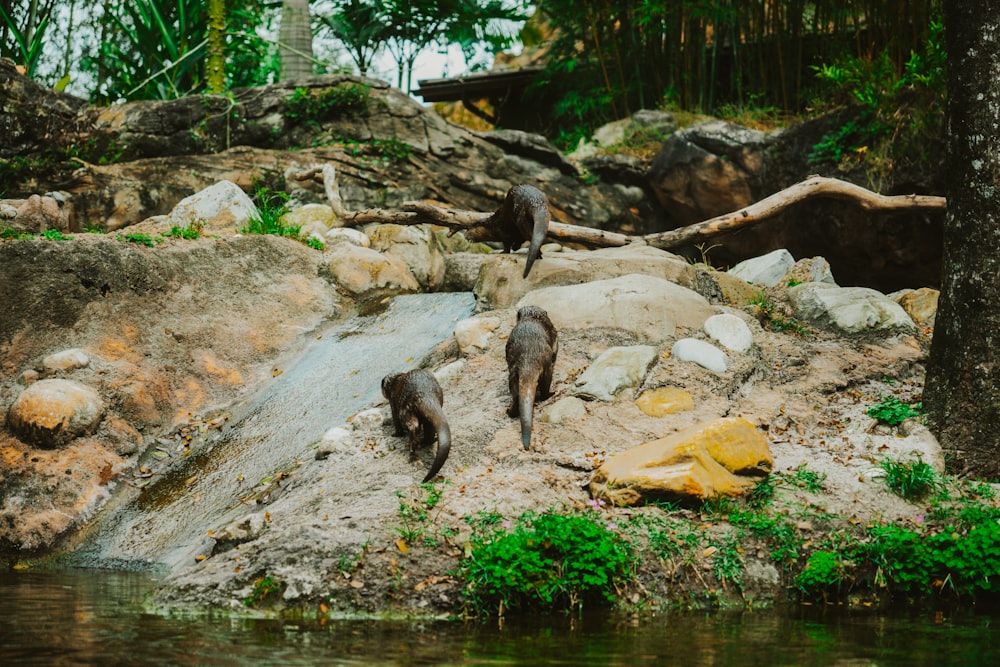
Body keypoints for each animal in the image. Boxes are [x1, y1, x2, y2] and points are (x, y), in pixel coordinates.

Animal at [504, 306, 560, 452]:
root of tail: (529, 359)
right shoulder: (553, 332)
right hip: (547, 368)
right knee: (545, 388)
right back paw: (551, 393)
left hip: (513, 376)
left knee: (516, 396)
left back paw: (509, 411)